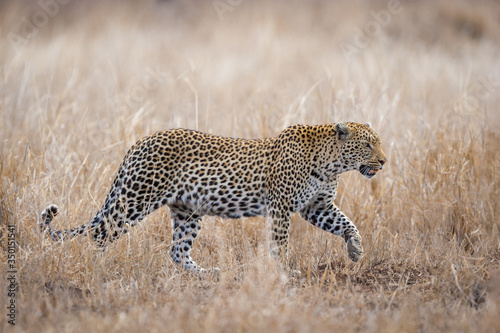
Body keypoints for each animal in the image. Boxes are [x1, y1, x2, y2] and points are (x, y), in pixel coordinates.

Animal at [39, 121, 388, 272]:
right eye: (367, 145)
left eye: (378, 142)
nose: (384, 161)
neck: (332, 164)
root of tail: (139, 143)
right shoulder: (281, 208)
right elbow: (280, 243)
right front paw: (284, 271)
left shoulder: (317, 206)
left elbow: (346, 223)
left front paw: (355, 249)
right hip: (135, 200)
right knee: (99, 232)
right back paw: (96, 267)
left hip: (187, 212)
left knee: (177, 250)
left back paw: (207, 275)